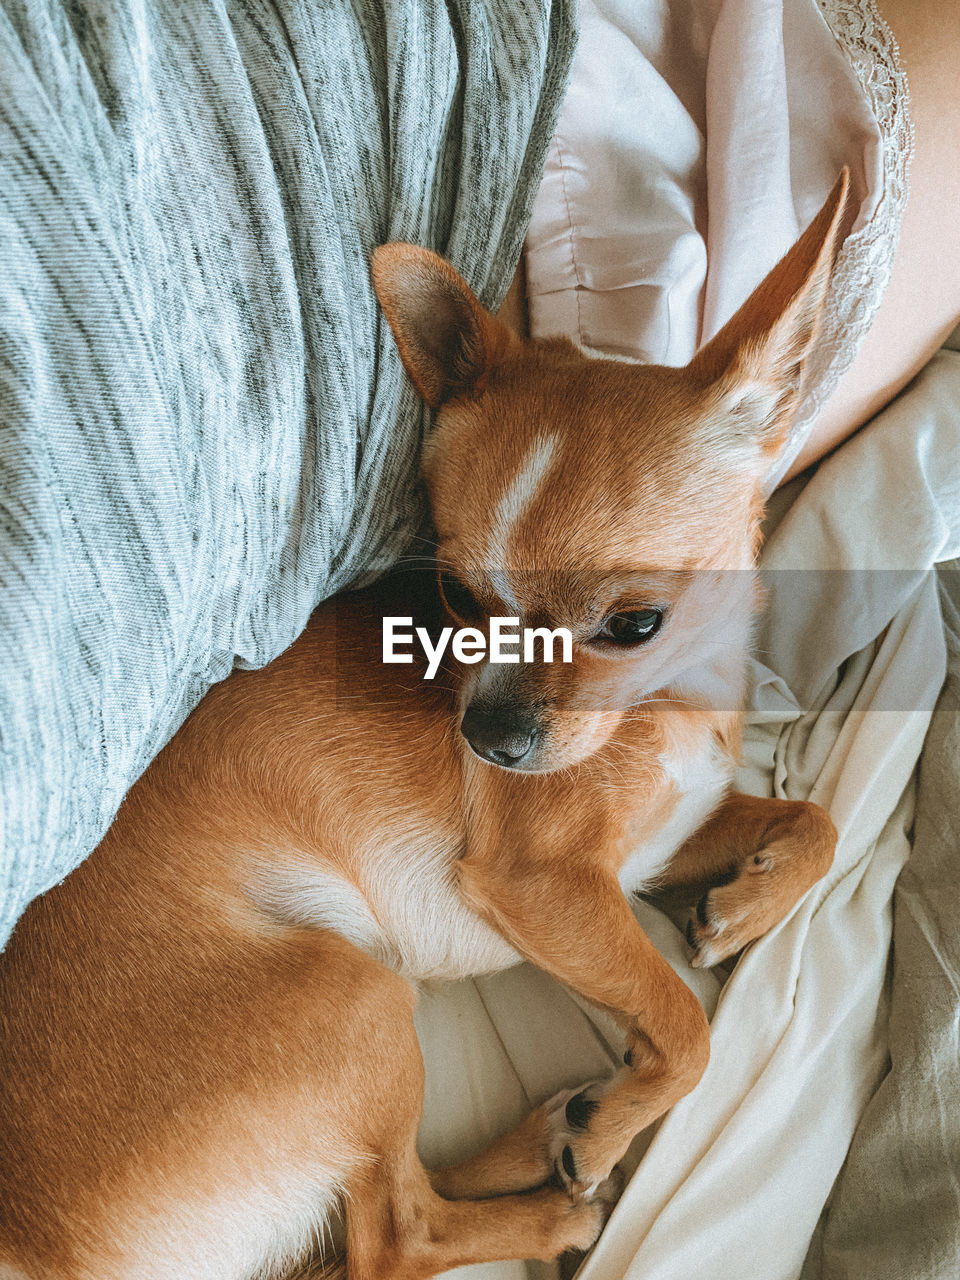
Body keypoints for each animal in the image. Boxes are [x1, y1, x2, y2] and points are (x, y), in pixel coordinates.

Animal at [0, 172, 844, 1280]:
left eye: (633, 623)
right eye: (455, 594)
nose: (488, 741)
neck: (672, 699)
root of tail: (27, 1244)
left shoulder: (655, 847)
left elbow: (815, 821)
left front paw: (746, 907)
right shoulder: (546, 882)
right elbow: (683, 1022)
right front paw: (618, 1123)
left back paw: (544, 1134)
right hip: (354, 998)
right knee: (395, 1236)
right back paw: (556, 1197)